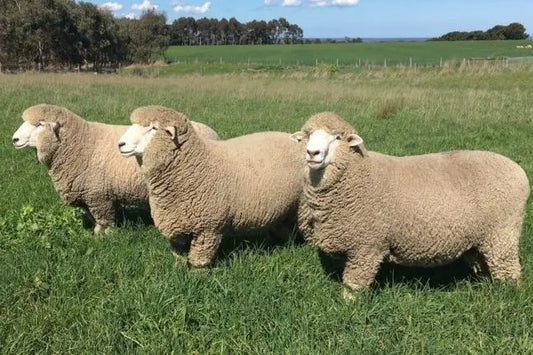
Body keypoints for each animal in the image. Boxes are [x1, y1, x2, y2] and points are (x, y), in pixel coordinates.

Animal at [11, 104, 218, 235]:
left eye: (39, 124)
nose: (14, 139)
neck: (81, 143)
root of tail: (212, 132)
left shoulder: (98, 196)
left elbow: (104, 219)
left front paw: (105, 236)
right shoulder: (91, 194)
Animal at [118, 105, 302, 268]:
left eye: (153, 128)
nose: (120, 144)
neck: (196, 164)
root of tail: (291, 139)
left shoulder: (208, 228)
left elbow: (199, 260)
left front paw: (197, 277)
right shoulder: (176, 224)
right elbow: (178, 255)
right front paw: (178, 269)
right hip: (286, 207)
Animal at [290, 112, 528, 298]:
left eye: (337, 137)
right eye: (308, 135)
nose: (312, 153)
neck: (359, 176)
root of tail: (518, 171)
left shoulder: (366, 246)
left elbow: (354, 284)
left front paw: (348, 308)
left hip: (502, 233)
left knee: (508, 271)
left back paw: (507, 298)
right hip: (481, 237)